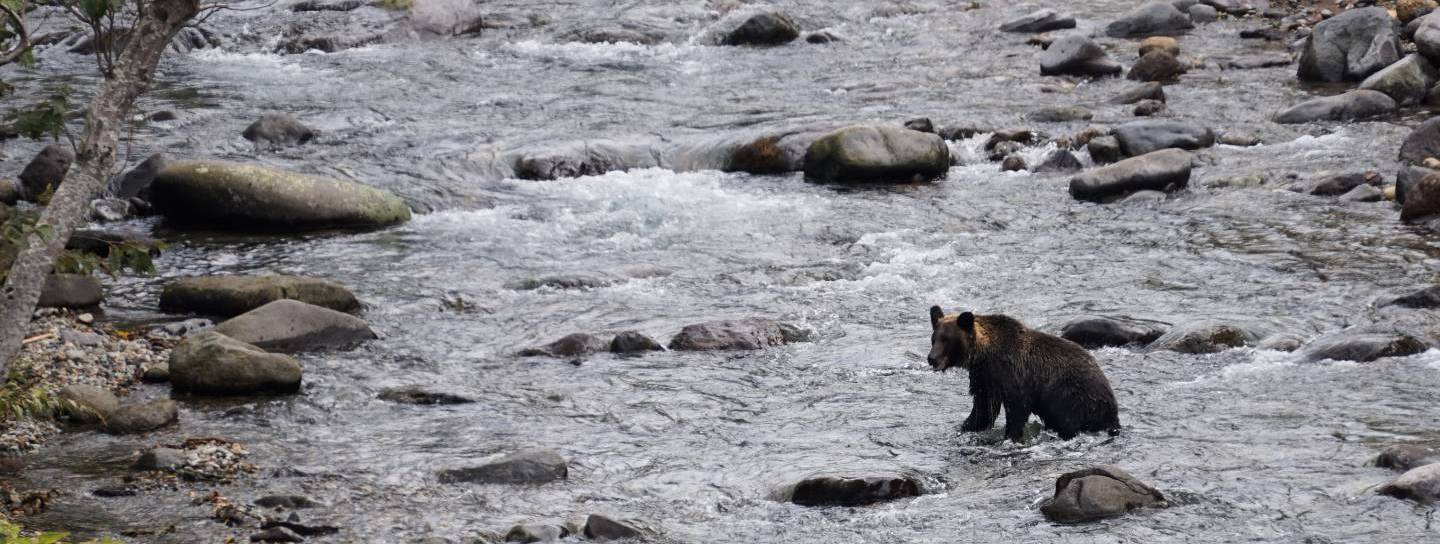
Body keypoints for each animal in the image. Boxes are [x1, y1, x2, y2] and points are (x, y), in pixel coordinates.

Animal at [927, 306, 1117, 443]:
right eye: (934, 338)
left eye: (946, 339)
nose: (932, 358)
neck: (984, 354)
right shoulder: (984, 379)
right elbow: (982, 409)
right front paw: (965, 427)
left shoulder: (1014, 376)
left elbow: (1016, 409)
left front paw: (1010, 437)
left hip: (1072, 396)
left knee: (1067, 421)